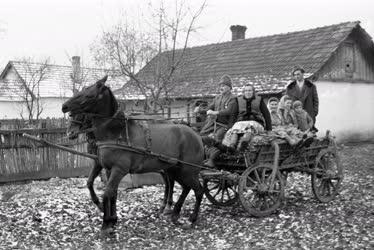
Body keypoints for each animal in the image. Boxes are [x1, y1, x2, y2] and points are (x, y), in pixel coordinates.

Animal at [62, 76, 206, 234]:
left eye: (88, 95)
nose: (64, 106)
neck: (116, 133)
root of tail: (196, 135)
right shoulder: (105, 167)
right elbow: (108, 191)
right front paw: (112, 219)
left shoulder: (119, 170)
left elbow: (107, 192)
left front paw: (106, 223)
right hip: (176, 170)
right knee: (185, 188)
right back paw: (174, 213)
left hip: (188, 170)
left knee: (199, 190)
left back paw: (191, 219)